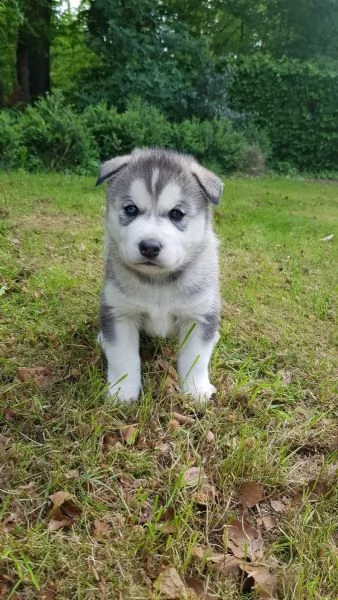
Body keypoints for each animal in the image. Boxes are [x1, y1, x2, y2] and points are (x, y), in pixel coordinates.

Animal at [95, 149, 222, 404]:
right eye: (131, 209)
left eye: (176, 214)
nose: (149, 246)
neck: (158, 282)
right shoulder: (119, 311)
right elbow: (123, 356)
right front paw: (122, 391)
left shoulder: (199, 315)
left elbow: (196, 359)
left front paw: (195, 390)